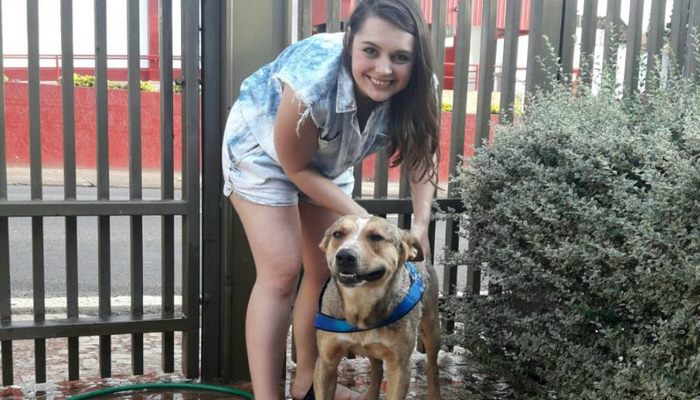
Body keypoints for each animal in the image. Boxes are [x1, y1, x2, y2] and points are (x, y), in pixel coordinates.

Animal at [314, 215, 442, 400]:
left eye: (376, 237)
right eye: (338, 234)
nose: (344, 256)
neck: (360, 302)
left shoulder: (399, 367)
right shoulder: (326, 362)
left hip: (431, 330)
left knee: (432, 366)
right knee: (377, 368)